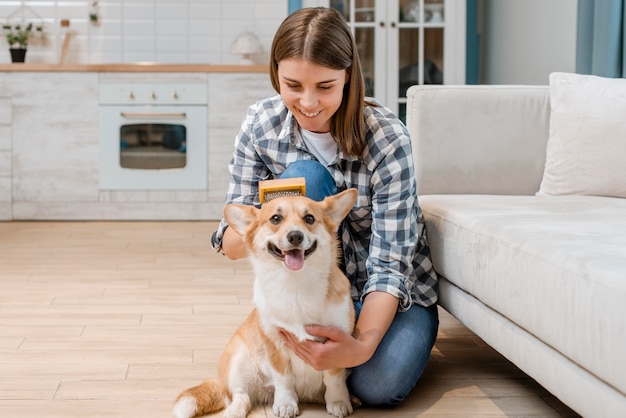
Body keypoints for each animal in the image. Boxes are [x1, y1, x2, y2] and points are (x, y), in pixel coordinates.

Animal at [173, 189, 358, 418]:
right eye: (275, 219)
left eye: (309, 219)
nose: (295, 236)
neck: (295, 283)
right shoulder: (274, 343)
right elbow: (284, 379)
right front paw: (286, 404)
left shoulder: (337, 344)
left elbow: (333, 378)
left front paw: (339, 401)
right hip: (239, 359)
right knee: (241, 395)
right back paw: (234, 410)